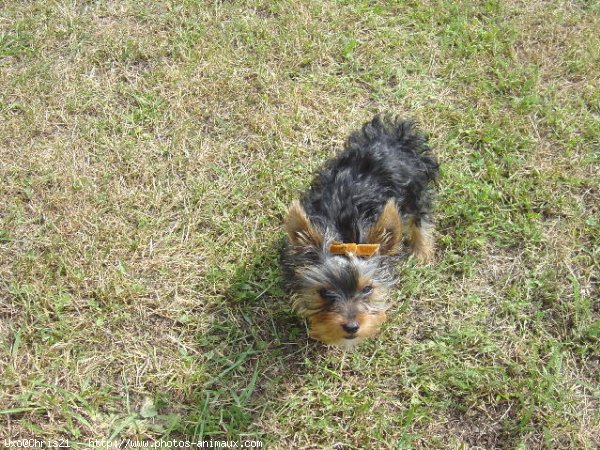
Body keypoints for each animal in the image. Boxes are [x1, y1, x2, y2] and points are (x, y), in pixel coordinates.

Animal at [282, 113, 440, 348]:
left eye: (367, 289)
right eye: (324, 292)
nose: (351, 327)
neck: (343, 232)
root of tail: (393, 138)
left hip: (415, 190)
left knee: (421, 217)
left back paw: (422, 251)